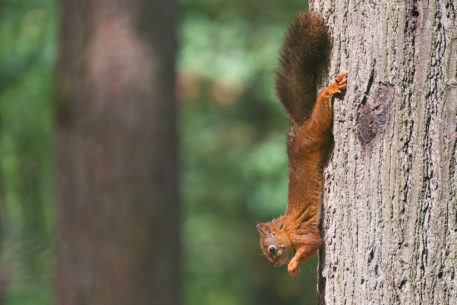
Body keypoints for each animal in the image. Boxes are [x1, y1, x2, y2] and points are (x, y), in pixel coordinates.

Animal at [255, 11, 348, 274]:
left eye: (271, 249)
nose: (276, 264)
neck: (285, 228)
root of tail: (299, 129)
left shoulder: (301, 232)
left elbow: (314, 242)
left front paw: (292, 265)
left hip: (316, 132)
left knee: (322, 106)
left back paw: (330, 88)